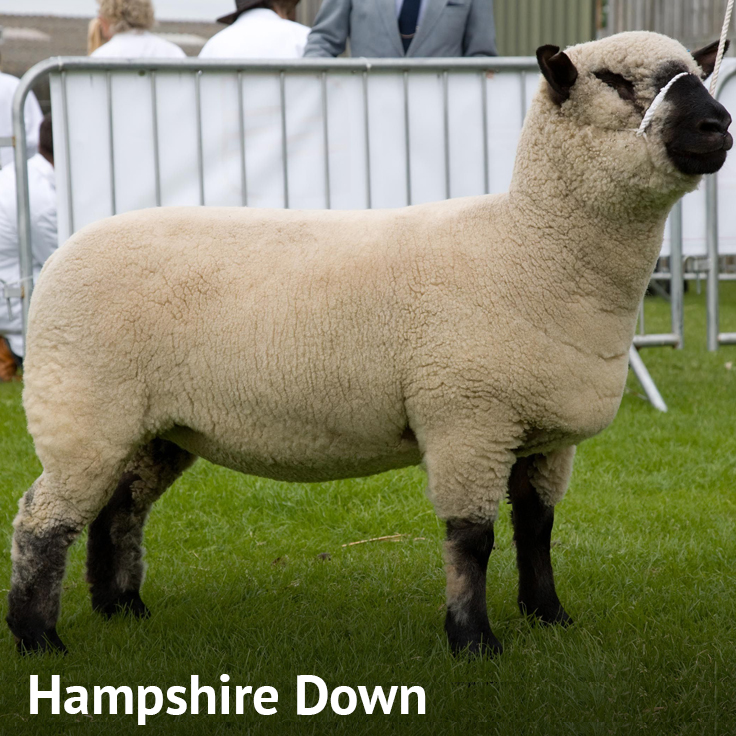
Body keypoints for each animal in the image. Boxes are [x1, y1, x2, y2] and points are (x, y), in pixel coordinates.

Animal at [7, 31, 732, 656]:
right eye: (614, 81)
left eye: (700, 76)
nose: (718, 124)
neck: (529, 248)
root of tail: (64, 253)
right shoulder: (467, 420)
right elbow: (473, 539)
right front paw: (473, 641)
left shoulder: (546, 437)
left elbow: (537, 529)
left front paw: (549, 617)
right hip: (81, 408)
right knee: (42, 520)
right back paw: (38, 636)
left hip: (155, 425)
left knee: (118, 511)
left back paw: (122, 608)